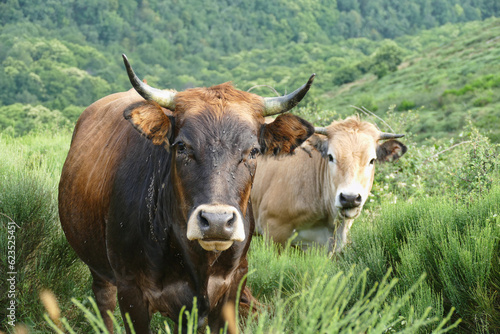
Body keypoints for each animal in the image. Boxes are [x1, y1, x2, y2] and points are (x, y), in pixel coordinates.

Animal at [58, 55, 314, 334]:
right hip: (99, 271)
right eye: (181, 146)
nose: (216, 222)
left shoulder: (232, 286)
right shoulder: (130, 292)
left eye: (254, 151)